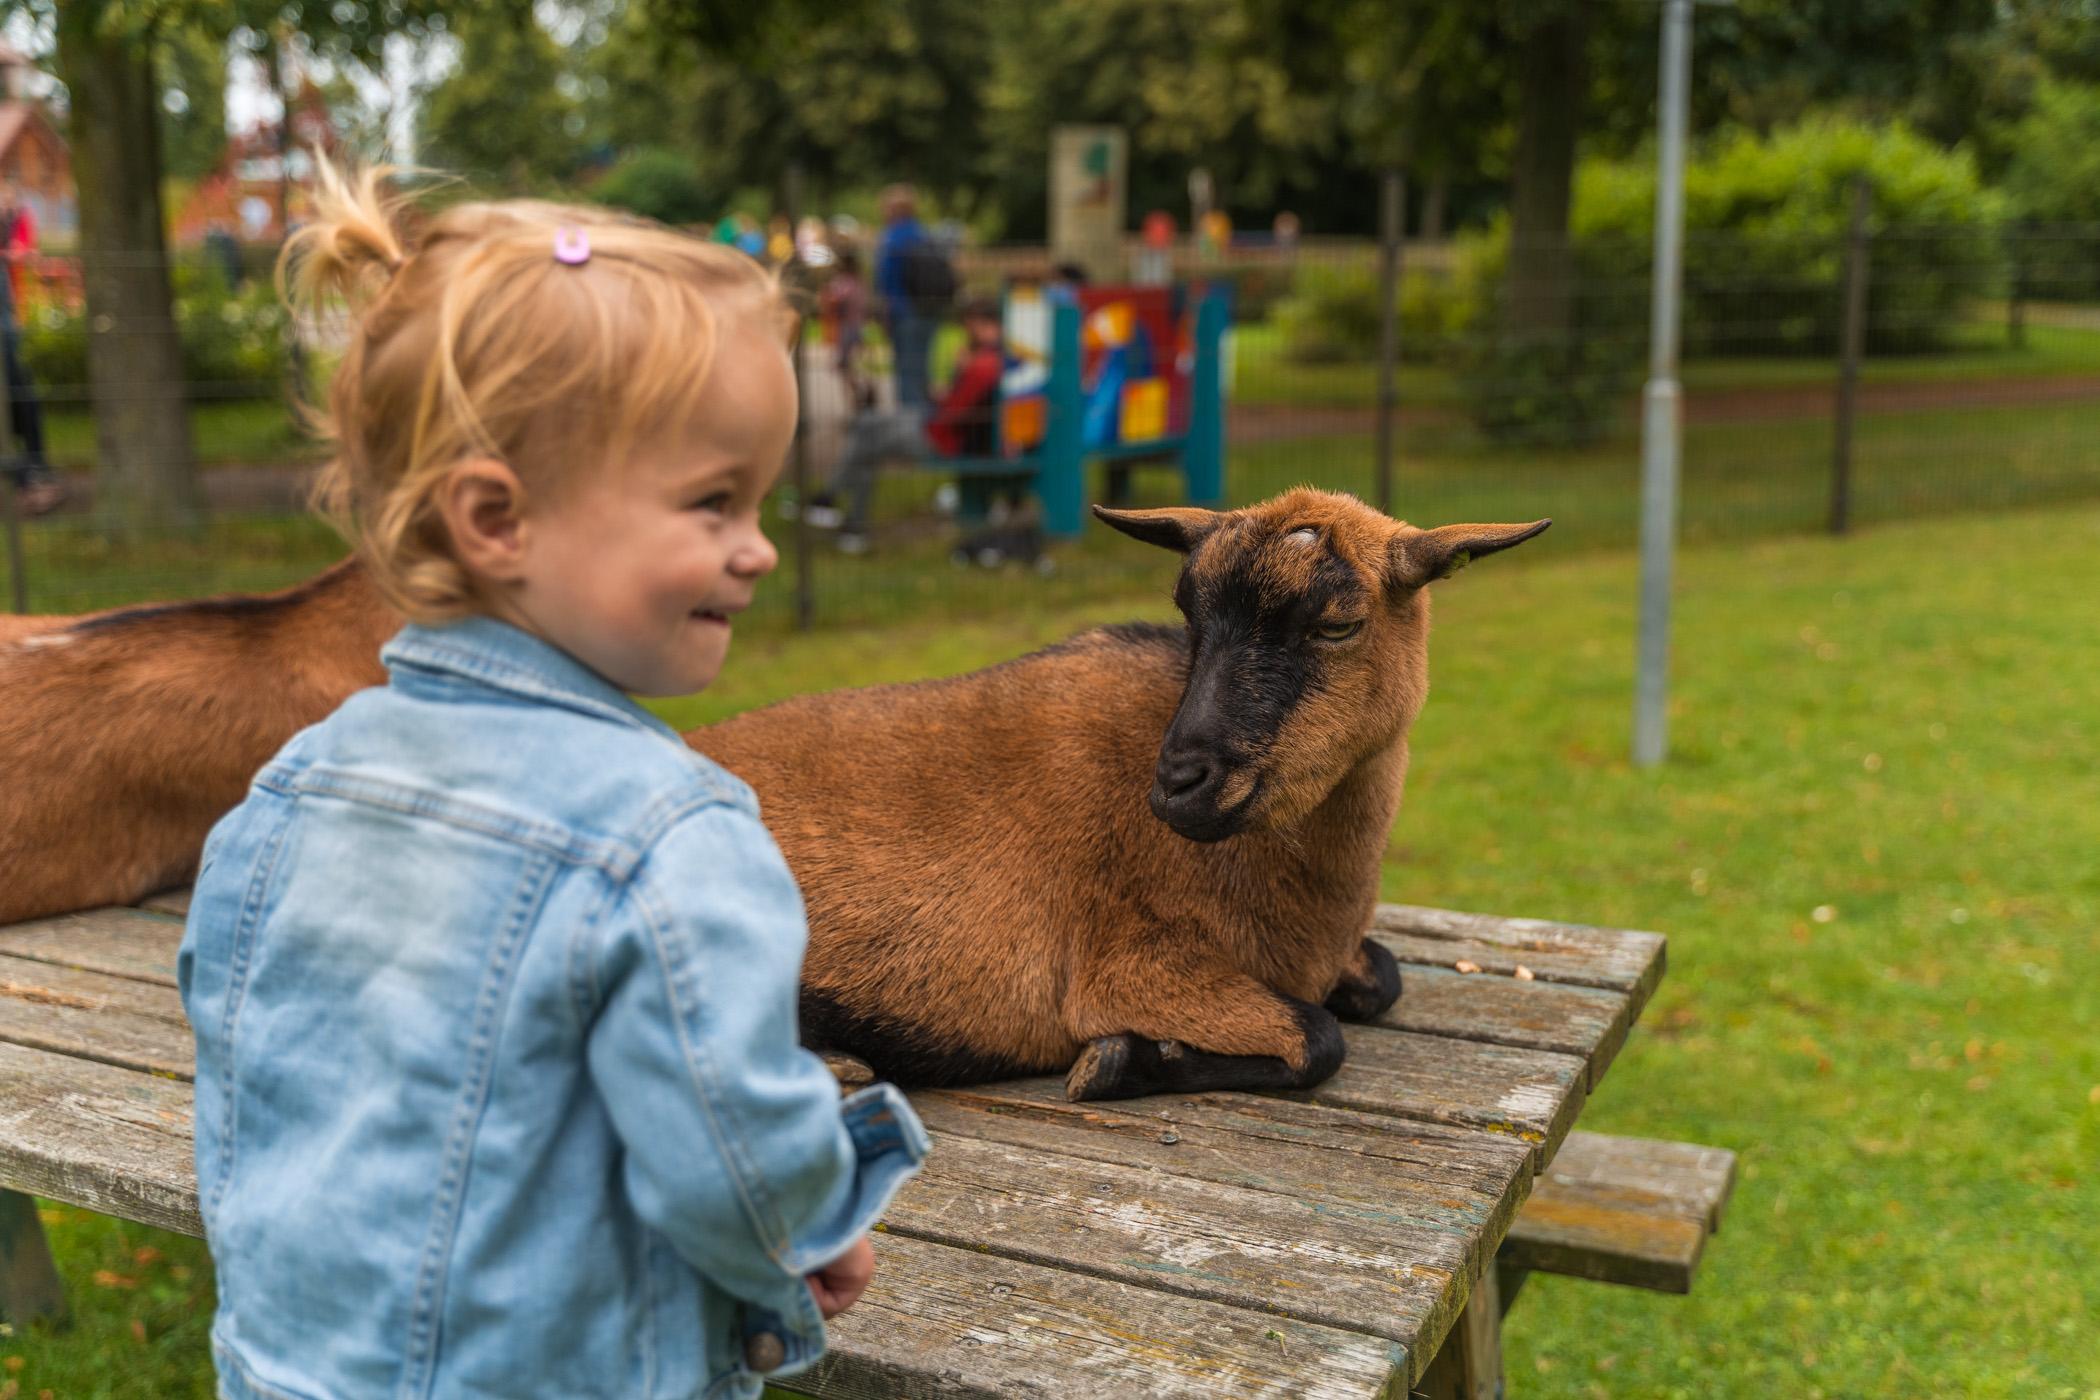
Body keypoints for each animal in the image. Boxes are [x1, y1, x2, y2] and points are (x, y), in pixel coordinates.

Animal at [705, 493, 1545, 1108]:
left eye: (1339, 624)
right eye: (1189, 614)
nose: (1177, 785)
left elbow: (1385, 979)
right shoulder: (1126, 967)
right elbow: (1316, 1038)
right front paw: (1119, 1061)